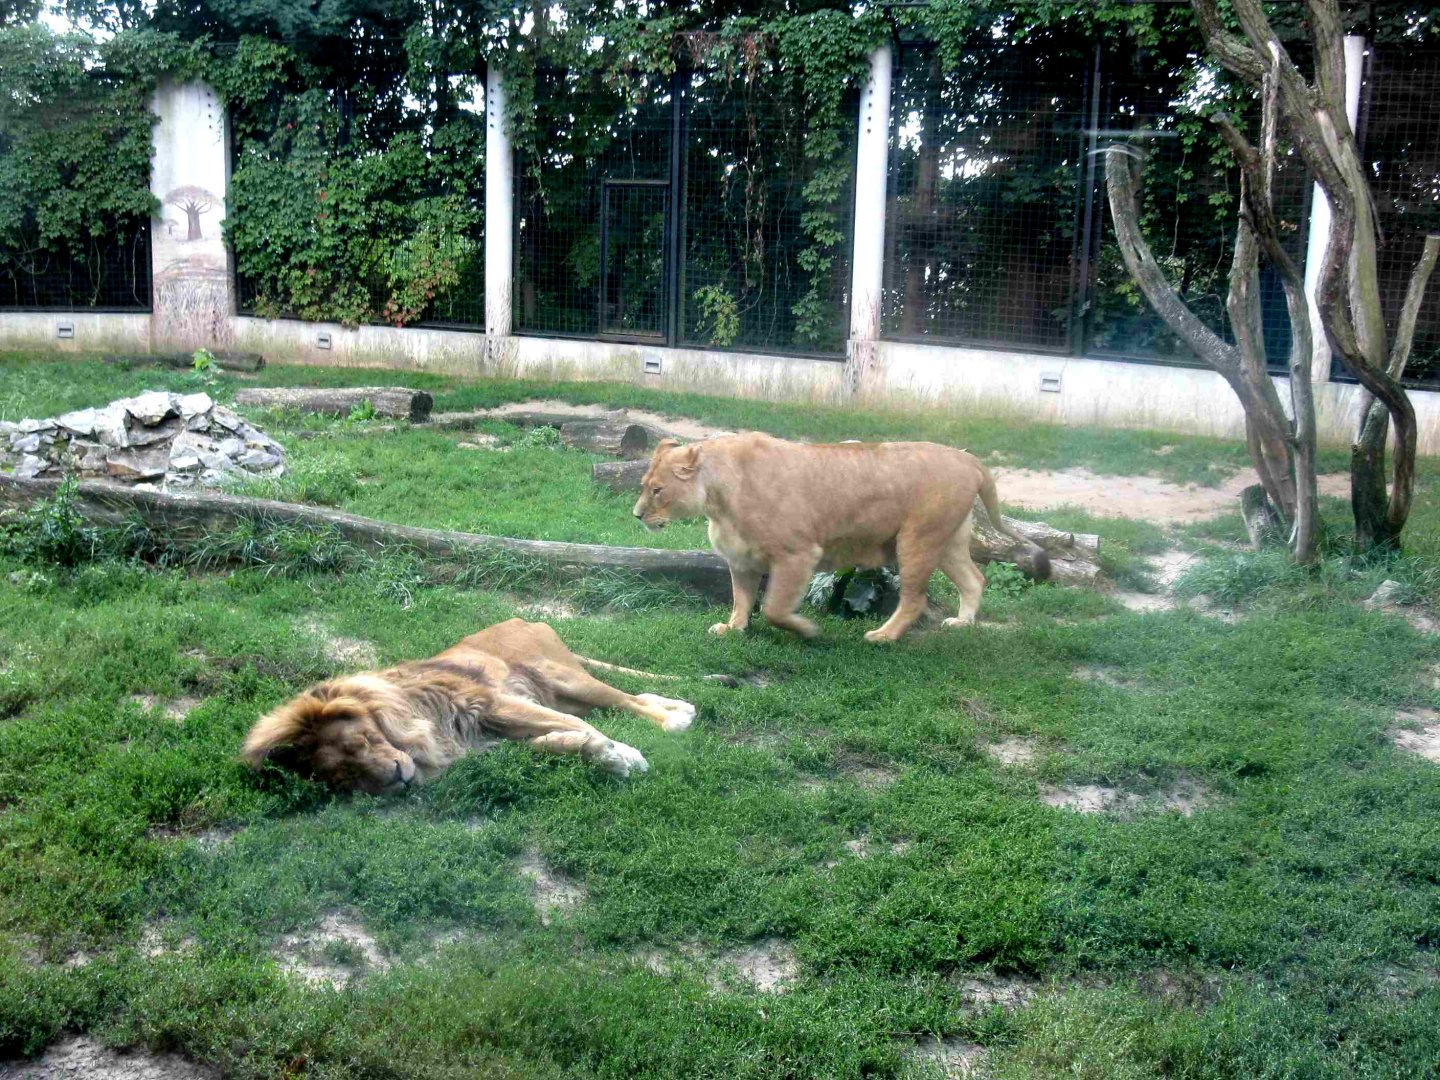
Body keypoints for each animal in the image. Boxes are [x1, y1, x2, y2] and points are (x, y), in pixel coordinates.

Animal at [241, 618, 697, 793]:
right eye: (346, 780)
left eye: (363, 742)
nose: (397, 780)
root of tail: (528, 619)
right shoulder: (489, 738)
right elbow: (557, 740)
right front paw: (601, 754)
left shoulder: (495, 703)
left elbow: (580, 728)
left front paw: (626, 757)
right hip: (567, 689)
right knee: (632, 698)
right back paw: (681, 708)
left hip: (565, 677)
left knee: (626, 701)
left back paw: (675, 721)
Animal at [632, 433, 1049, 643]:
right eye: (643, 486)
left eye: (657, 490)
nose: (637, 515)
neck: (717, 500)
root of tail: (969, 458)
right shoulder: (742, 558)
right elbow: (741, 599)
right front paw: (733, 629)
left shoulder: (797, 553)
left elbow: (774, 608)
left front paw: (807, 630)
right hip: (947, 541)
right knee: (975, 580)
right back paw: (962, 624)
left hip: (918, 539)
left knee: (915, 599)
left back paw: (883, 636)